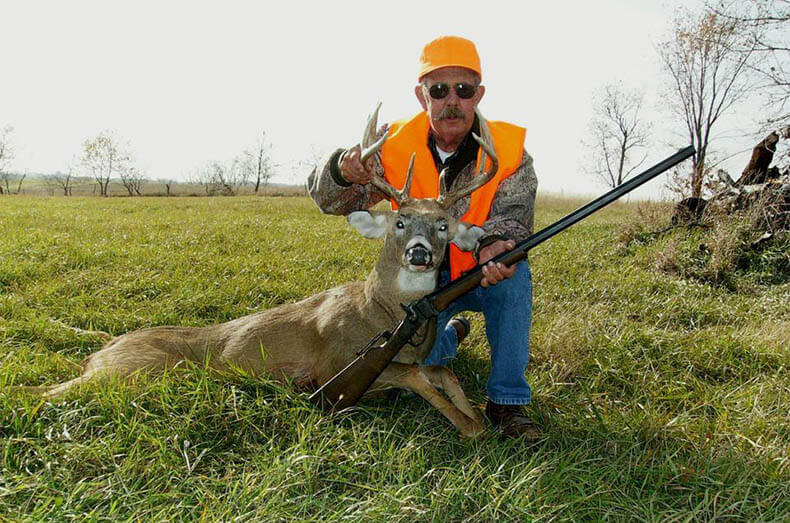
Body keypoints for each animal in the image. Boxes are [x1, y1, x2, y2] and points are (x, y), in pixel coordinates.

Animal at [20, 105, 501, 438]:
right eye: (399, 222)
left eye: (443, 224)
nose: (420, 253)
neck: (380, 309)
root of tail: (105, 346)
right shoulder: (335, 368)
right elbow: (419, 376)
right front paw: (471, 424)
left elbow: (442, 371)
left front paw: (479, 415)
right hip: (130, 372)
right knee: (46, 391)